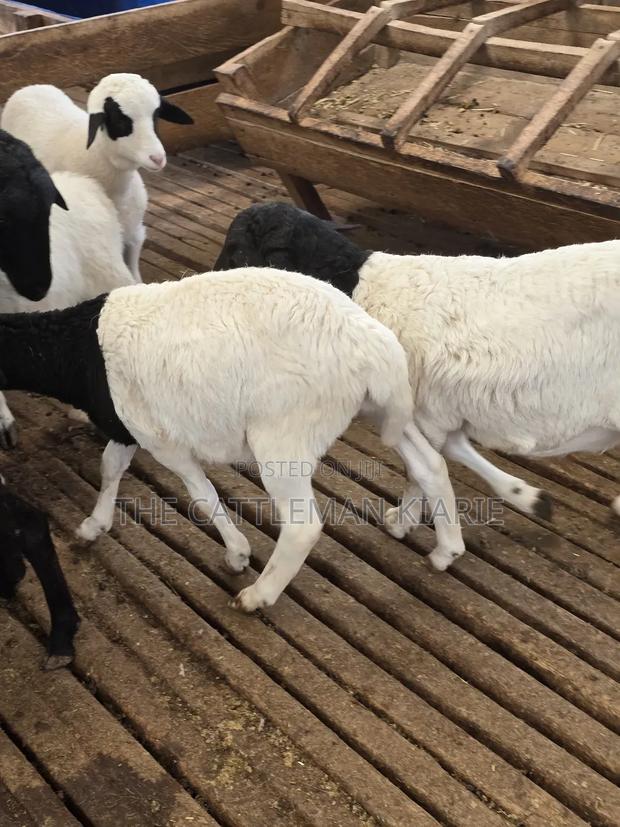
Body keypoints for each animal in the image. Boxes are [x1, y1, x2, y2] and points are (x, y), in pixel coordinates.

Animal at [0, 268, 455, 611]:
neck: (72, 350)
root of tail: (375, 345)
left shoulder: (164, 442)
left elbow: (202, 495)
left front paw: (237, 554)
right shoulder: (129, 425)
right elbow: (110, 467)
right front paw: (94, 525)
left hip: (284, 437)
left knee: (303, 526)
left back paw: (258, 596)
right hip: (382, 409)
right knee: (430, 465)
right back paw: (446, 550)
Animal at [215, 202, 620, 568]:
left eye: (236, 247)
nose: (210, 277)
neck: (358, 288)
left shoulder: (415, 411)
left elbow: (422, 470)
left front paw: (408, 525)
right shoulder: (436, 413)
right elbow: (449, 453)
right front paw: (525, 496)